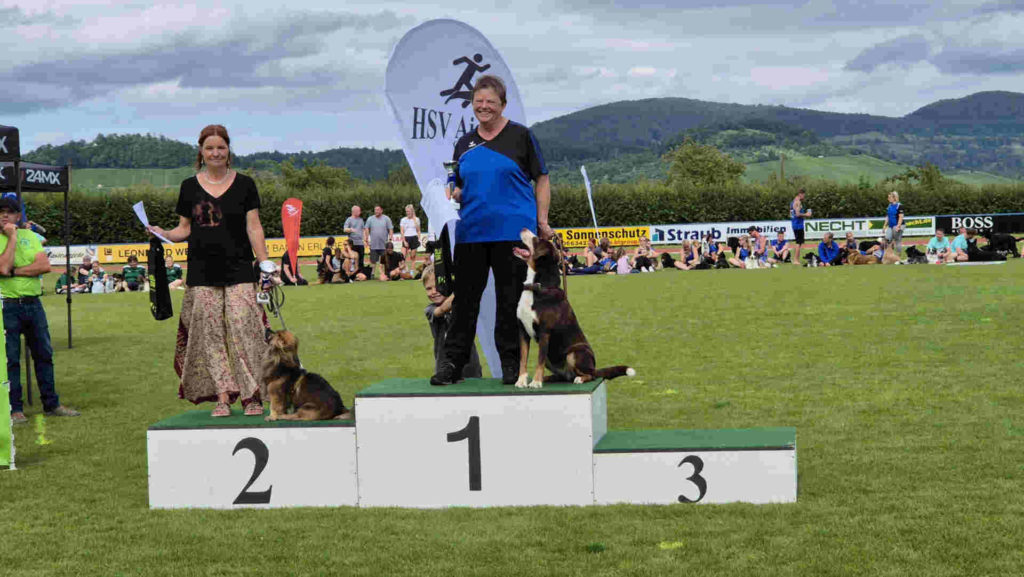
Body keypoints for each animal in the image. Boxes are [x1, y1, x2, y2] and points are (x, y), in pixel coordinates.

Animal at [516, 229, 634, 387]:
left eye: (536, 239)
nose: (523, 229)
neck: (536, 287)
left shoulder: (544, 332)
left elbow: (539, 360)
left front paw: (535, 382)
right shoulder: (522, 330)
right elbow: (522, 358)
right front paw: (521, 380)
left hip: (574, 353)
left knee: (592, 375)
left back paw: (579, 378)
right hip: (552, 359)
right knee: (563, 376)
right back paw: (548, 378)